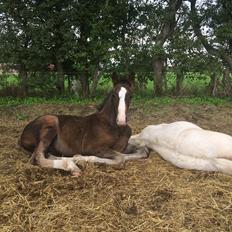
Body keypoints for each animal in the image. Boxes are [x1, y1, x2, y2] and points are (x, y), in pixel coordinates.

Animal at [18, 74, 149, 176]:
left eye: (131, 96)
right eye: (113, 95)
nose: (121, 121)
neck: (115, 127)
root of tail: (22, 135)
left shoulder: (123, 147)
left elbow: (142, 151)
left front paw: (80, 158)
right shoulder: (93, 147)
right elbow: (120, 158)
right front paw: (84, 158)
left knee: (46, 154)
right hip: (51, 123)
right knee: (37, 157)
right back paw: (73, 167)